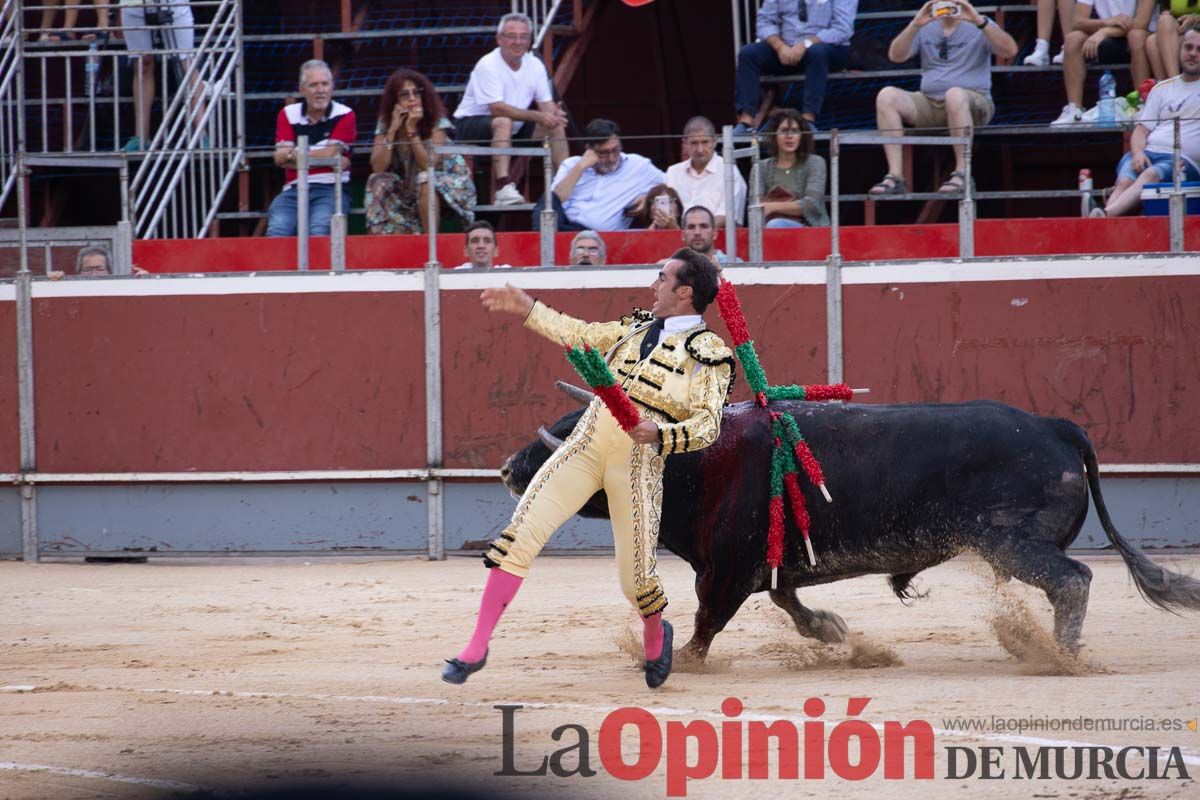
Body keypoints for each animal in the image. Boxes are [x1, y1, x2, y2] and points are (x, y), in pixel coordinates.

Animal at [499, 383, 1200, 662]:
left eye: (574, 440)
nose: (508, 467)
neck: (700, 460)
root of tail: (1055, 425)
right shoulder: (763, 565)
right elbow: (788, 601)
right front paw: (832, 631)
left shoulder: (724, 571)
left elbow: (705, 625)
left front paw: (685, 665)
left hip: (1008, 540)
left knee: (1073, 579)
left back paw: (1062, 655)